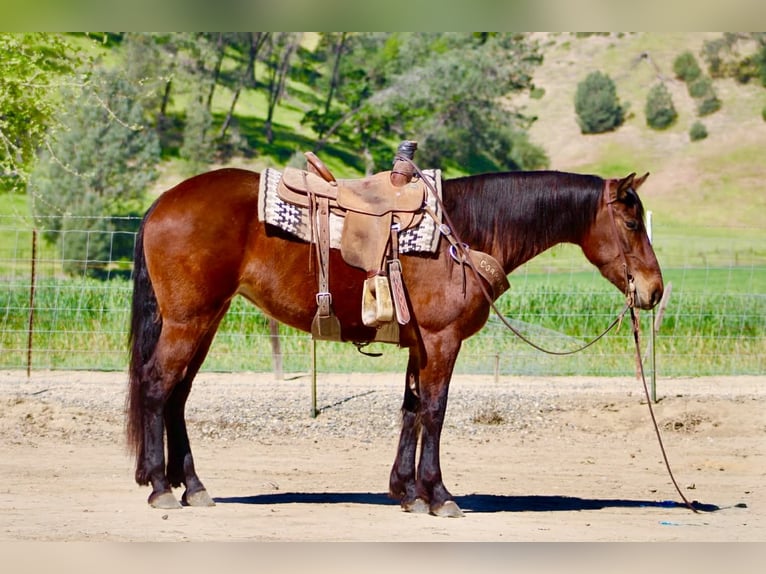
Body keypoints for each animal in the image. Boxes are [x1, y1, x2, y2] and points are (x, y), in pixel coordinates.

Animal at [126, 165, 663, 516]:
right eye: (632, 223)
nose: (654, 290)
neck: (462, 235)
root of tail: (163, 202)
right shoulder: (443, 341)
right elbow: (435, 411)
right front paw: (438, 495)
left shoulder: (420, 344)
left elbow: (411, 409)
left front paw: (406, 491)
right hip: (188, 321)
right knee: (156, 386)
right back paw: (160, 487)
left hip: (205, 320)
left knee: (177, 395)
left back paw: (193, 486)